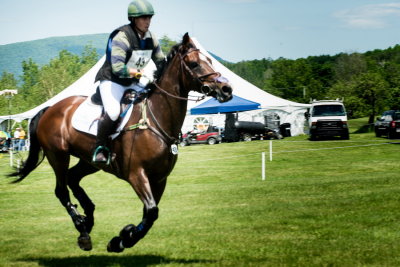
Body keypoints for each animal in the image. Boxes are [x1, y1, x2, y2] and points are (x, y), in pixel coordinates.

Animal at [8, 33, 234, 253]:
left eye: (210, 60)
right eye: (194, 64)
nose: (226, 89)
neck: (156, 119)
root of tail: (50, 108)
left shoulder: (159, 179)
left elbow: (149, 214)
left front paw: (122, 239)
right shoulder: (137, 174)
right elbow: (151, 211)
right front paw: (124, 238)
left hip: (90, 161)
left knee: (73, 178)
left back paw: (88, 220)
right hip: (58, 155)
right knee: (61, 190)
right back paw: (82, 227)